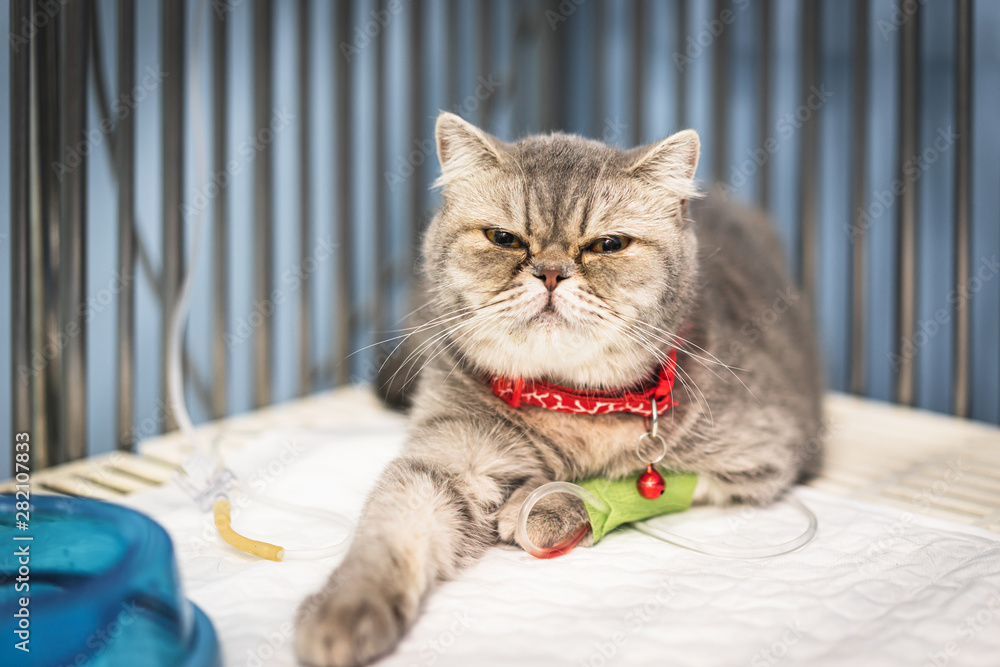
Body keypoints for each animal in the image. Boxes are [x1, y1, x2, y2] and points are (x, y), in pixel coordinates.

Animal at [292, 112, 824, 664]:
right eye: (503, 238)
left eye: (608, 245)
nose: (549, 273)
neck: (569, 402)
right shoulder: (447, 459)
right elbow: (390, 531)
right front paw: (346, 607)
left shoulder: (765, 457)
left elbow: (626, 481)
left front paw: (542, 506)